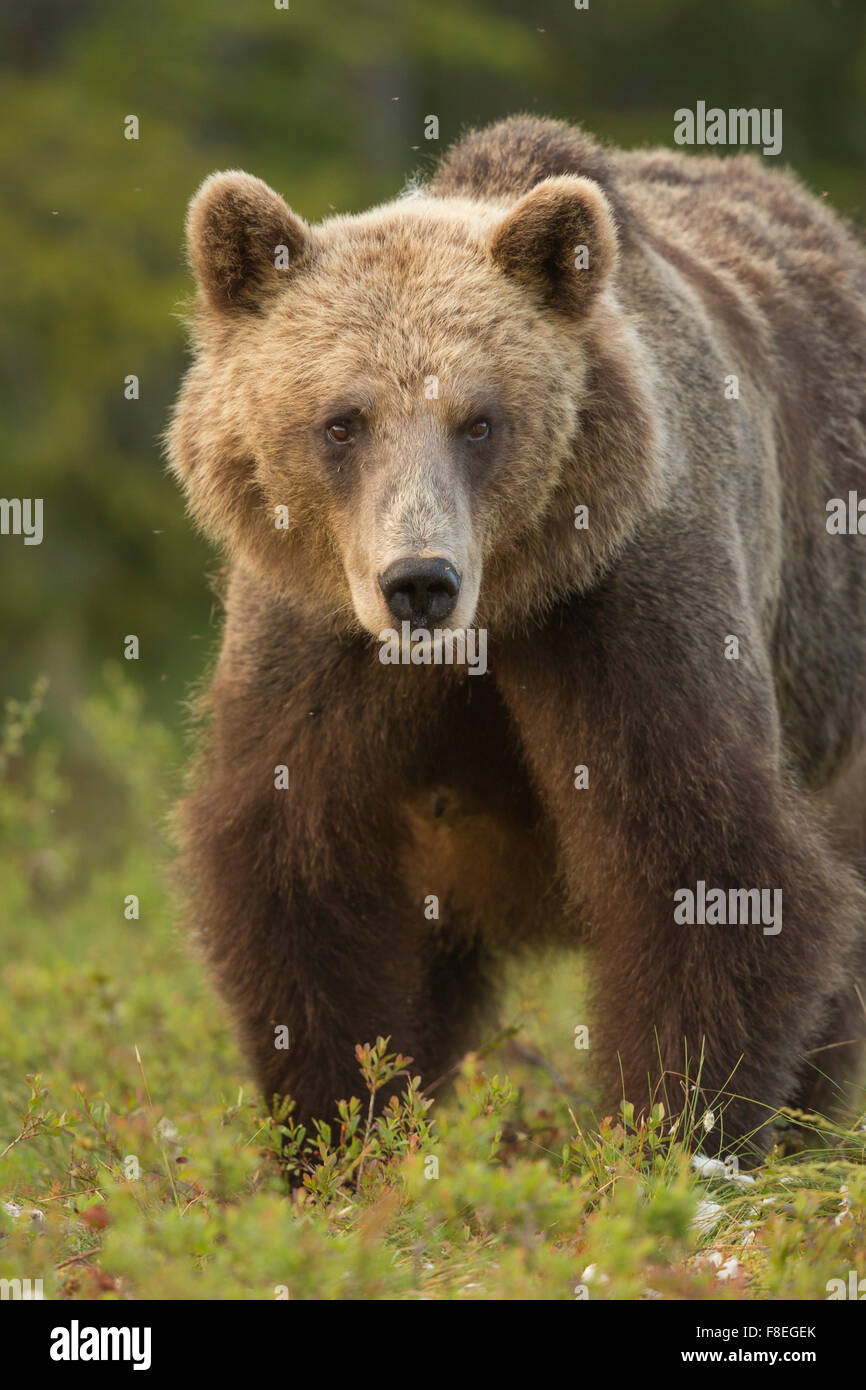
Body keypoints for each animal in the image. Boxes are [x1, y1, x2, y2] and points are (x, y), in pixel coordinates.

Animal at [168, 115, 866, 1156]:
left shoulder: (624, 600)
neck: (493, 623)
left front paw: (673, 1134)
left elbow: (710, 864)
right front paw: (343, 1132)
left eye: (479, 422)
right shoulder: (315, 635)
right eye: (342, 422)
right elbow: (297, 863)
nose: (420, 583)